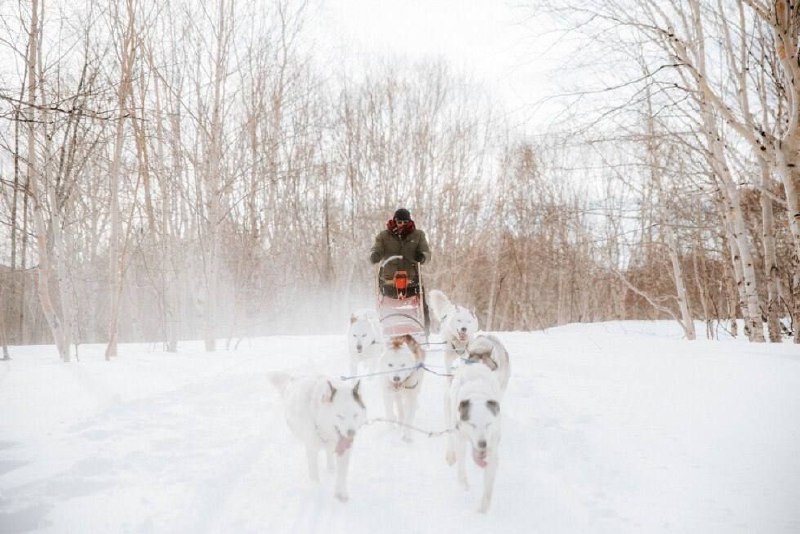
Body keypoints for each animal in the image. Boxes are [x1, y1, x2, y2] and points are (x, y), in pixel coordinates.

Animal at [270, 374, 368, 504]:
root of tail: (293, 379)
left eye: (355, 415)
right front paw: (316, 491)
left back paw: (331, 469)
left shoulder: (344, 449)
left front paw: (340, 493)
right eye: (340, 416)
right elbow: (314, 475)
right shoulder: (311, 449)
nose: (351, 432)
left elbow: (342, 473)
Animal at [444, 364, 500, 516]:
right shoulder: (460, 436)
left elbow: (488, 488)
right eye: (472, 424)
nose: (482, 444)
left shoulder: (492, 443)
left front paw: (482, 511)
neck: (477, 394)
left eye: (488, 424)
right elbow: (461, 465)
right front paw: (464, 486)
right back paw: (450, 455)